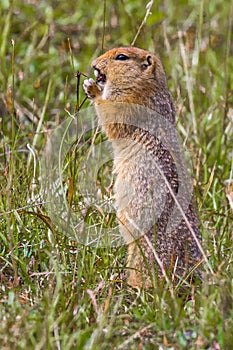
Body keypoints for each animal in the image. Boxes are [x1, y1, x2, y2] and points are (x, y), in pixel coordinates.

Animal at [83, 45, 201, 288]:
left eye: (121, 57)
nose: (94, 64)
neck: (148, 87)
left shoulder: (130, 103)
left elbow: (112, 115)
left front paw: (92, 88)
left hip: (144, 250)